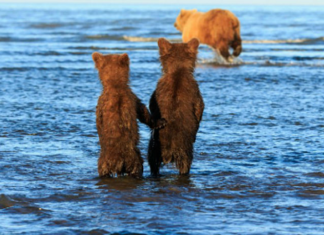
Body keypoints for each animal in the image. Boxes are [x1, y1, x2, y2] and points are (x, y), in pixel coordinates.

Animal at [148, 37, 204, 176]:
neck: (178, 70)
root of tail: (168, 151)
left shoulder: (158, 91)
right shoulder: (195, 92)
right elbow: (199, 109)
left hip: (154, 148)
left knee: (152, 163)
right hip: (183, 150)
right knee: (185, 164)